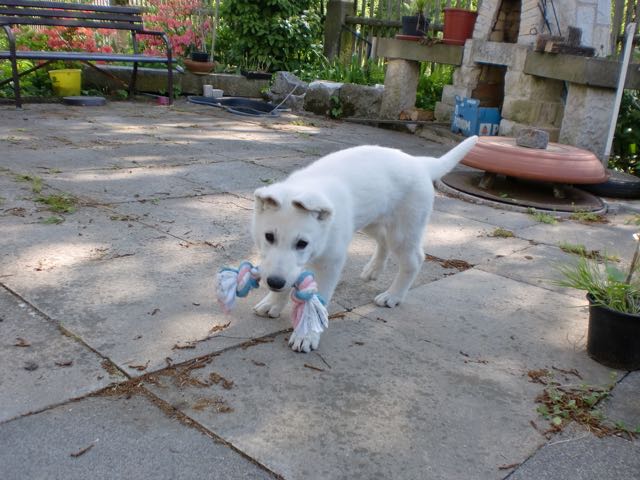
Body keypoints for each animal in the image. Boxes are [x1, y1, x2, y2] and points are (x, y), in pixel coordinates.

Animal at [251, 135, 478, 352]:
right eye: (269, 237)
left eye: (302, 243)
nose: (274, 283)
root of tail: (419, 163)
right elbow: (289, 276)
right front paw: (273, 302)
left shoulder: (329, 264)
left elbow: (317, 300)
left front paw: (306, 336)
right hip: (372, 222)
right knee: (383, 241)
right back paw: (374, 269)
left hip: (402, 232)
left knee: (414, 260)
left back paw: (393, 296)